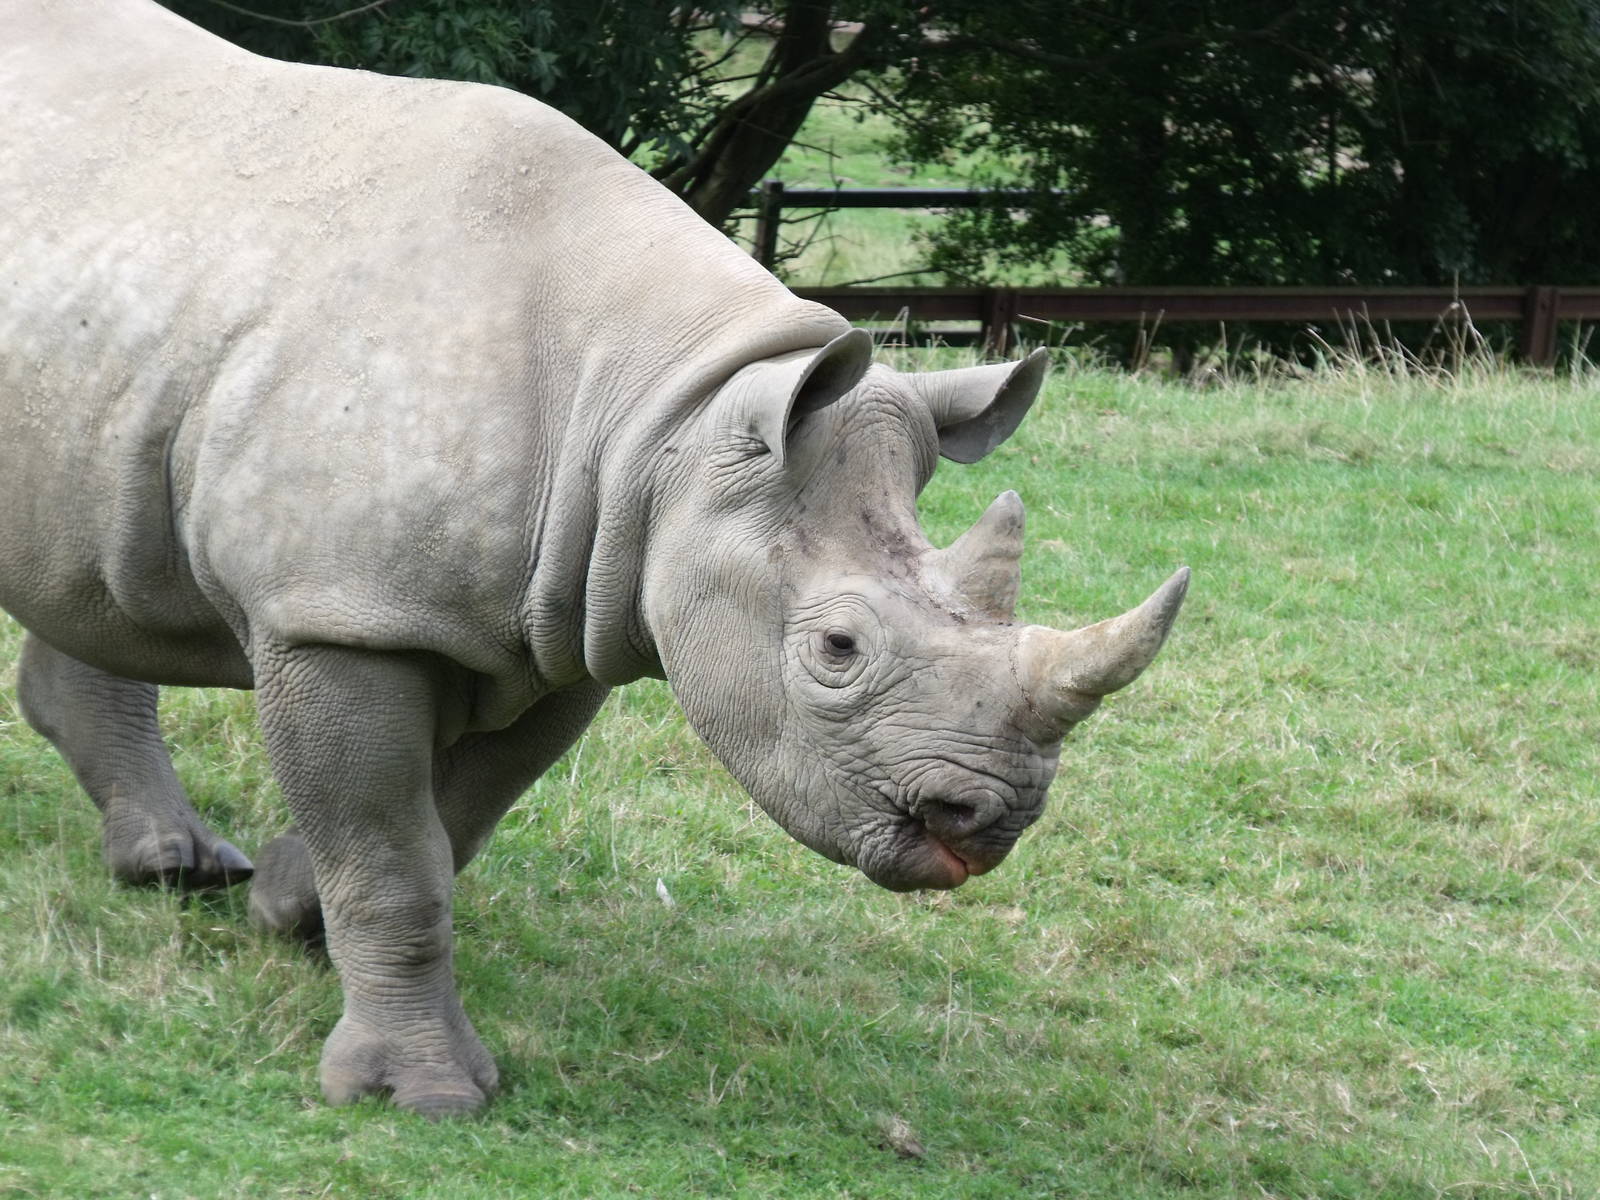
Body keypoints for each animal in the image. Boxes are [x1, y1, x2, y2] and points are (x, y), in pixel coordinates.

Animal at [0, 0, 1187, 1116]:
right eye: (838, 649)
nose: (990, 819)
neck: (665, 420)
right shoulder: (335, 613)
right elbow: (393, 858)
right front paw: (422, 1095)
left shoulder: (555, 623)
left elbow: (448, 827)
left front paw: (291, 911)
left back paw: (173, 869)